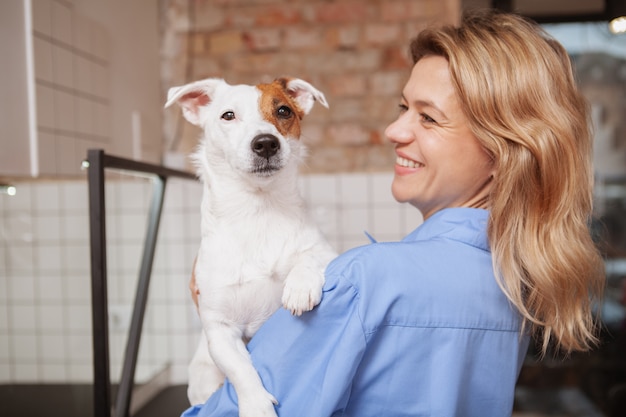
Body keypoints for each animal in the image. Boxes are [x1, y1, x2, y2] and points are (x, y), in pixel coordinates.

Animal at [163, 76, 334, 414]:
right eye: (228, 115)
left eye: (283, 111)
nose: (266, 143)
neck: (257, 210)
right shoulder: (220, 330)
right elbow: (241, 370)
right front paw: (257, 406)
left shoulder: (328, 252)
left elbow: (309, 257)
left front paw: (300, 286)